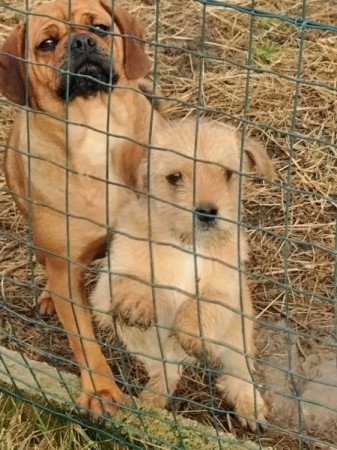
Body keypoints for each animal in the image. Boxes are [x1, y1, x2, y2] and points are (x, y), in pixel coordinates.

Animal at [0, 0, 163, 414]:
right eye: (46, 43)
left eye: (101, 28)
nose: (83, 42)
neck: (94, 131)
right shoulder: (66, 269)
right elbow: (83, 341)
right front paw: (101, 391)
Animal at [90, 118, 274, 428]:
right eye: (174, 178)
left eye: (227, 174)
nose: (207, 212)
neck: (188, 245)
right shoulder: (108, 282)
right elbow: (139, 281)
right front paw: (138, 301)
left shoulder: (227, 290)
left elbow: (205, 303)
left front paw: (191, 330)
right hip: (146, 346)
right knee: (166, 371)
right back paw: (153, 400)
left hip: (238, 338)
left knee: (239, 374)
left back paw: (250, 405)